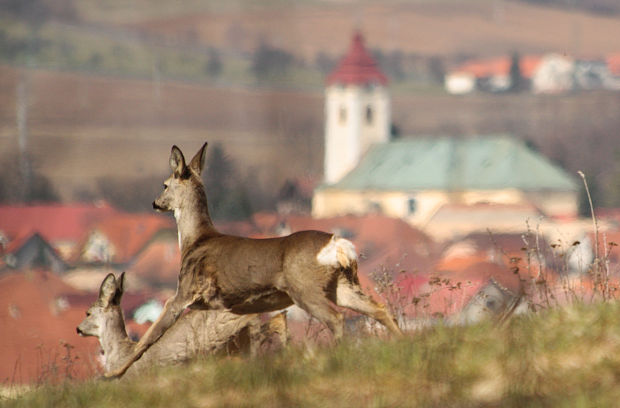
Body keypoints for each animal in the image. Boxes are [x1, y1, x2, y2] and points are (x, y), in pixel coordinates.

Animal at [77, 272, 288, 378]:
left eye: (87, 312)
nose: (78, 329)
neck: (120, 352)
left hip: (224, 329)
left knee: (260, 324)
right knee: (274, 321)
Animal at [104, 144, 402, 380]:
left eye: (165, 184)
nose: (155, 203)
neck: (195, 240)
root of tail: (338, 245)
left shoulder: (184, 292)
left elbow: (149, 337)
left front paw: (113, 373)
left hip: (305, 288)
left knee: (337, 318)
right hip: (341, 285)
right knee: (378, 309)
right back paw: (401, 342)